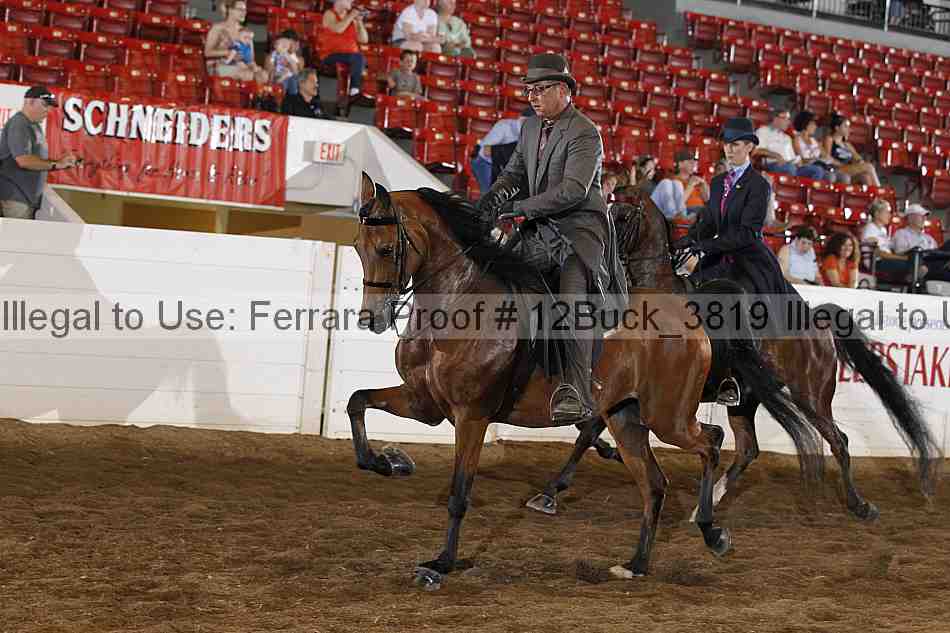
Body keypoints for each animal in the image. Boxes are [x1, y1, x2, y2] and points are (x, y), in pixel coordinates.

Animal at [347, 172, 823, 589]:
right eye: (357, 246)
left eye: (386, 249)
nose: (373, 318)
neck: (460, 304)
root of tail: (688, 317)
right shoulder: (423, 402)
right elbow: (357, 401)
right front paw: (387, 462)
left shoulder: (472, 416)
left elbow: (459, 493)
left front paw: (441, 564)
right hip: (626, 417)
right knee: (655, 484)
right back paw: (635, 564)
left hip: (667, 416)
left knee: (711, 441)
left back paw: (711, 531)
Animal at [526, 192, 942, 520]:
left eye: (623, 216)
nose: (595, 256)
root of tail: (817, 319)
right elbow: (586, 431)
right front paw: (554, 489)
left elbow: (587, 430)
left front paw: (550, 491)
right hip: (746, 399)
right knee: (748, 450)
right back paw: (708, 502)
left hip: (811, 394)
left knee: (838, 440)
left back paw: (860, 505)